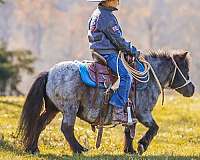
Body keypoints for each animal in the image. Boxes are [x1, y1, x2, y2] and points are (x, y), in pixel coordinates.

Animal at [18, 50, 195, 155]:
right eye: (185, 70)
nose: (192, 89)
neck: (147, 79)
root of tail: (49, 72)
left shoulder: (131, 115)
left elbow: (129, 131)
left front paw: (129, 150)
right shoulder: (144, 113)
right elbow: (154, 128)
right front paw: (142, 145)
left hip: (52, 109)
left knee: (40, 124)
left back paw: (33, 148)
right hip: (70, 108)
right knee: (66, 128)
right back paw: (79, 149)